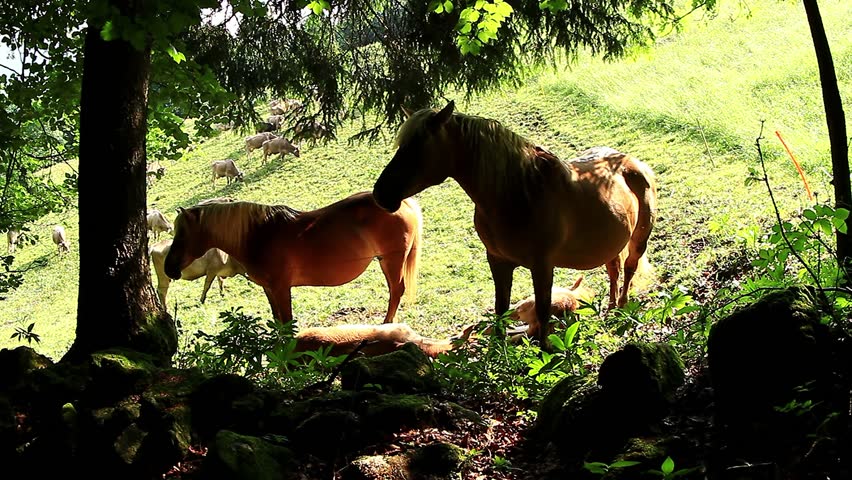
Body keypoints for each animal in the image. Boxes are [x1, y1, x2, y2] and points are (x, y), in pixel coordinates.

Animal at [163, 192, 422, 324]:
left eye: (182, 234)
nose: (169, 268)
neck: (259, 234)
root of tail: (403, 201)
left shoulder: (281, 288)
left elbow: (287, 324)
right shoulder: (269, 289)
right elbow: (278, 322)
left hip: (391, 261)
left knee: (396, 292)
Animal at [372, 101, 657, 346]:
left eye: (417, 148)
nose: (380, 194)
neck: (519, 194)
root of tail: (631, 162)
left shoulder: (542, 266)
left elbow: (542, 311)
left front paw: (545, 353)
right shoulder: (498, 261)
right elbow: (501, 310)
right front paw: (499, 354)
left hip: (639, 240)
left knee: (629, 269)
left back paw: (621, 308)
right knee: (613, 270)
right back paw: (610, 308)